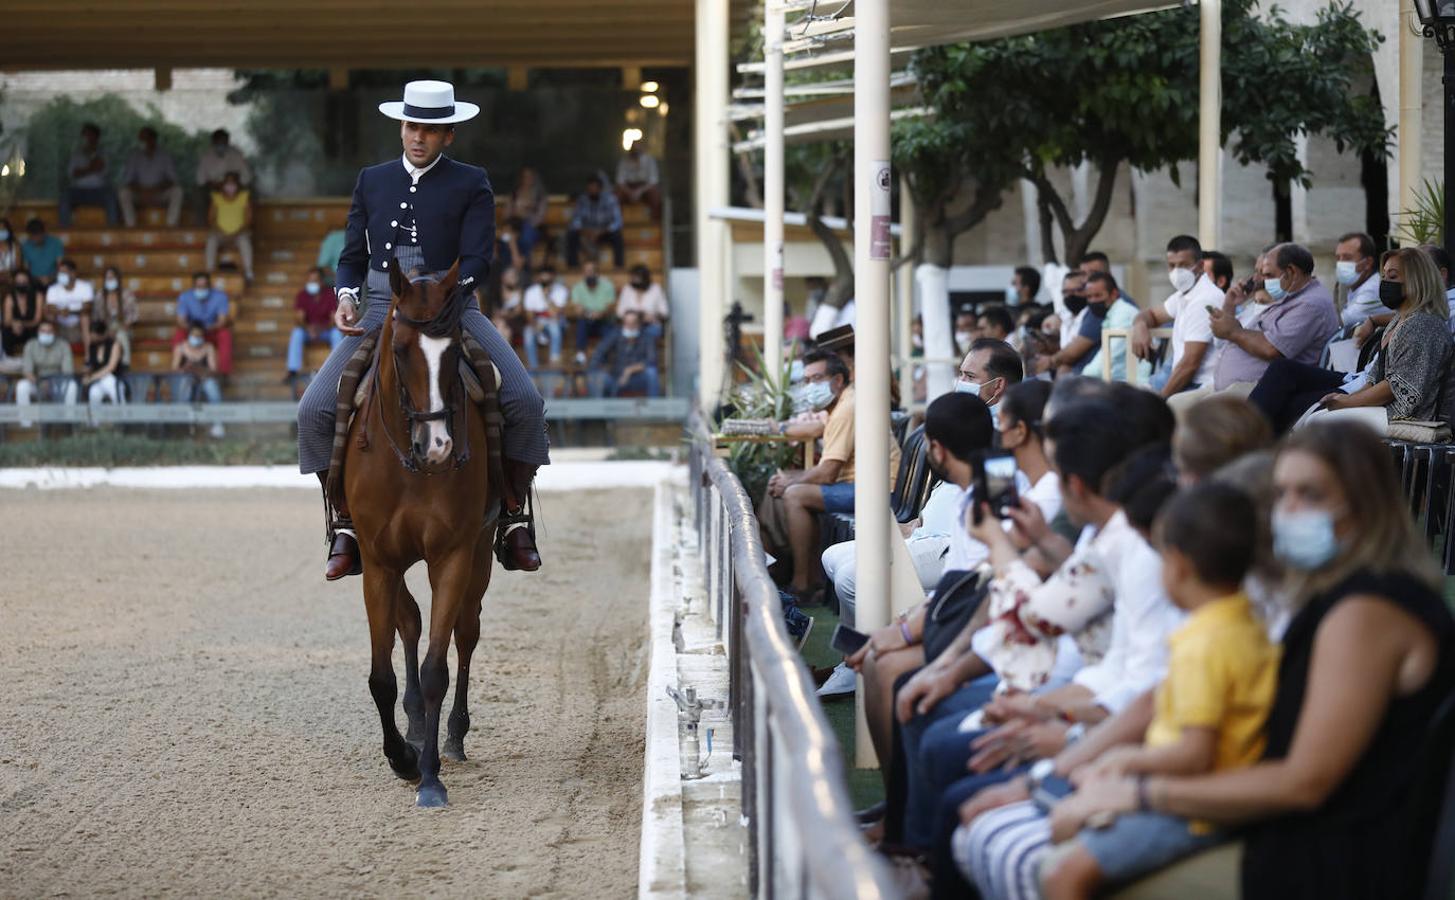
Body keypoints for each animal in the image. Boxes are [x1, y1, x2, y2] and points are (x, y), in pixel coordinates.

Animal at [341, 261, 494, 808]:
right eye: (402, 348)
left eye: (452, 351)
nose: (439, 447)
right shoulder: (378, 562)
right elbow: (381, 677)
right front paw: (401, 758)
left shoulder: (452, 556)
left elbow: (435, 670)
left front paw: (428, 779)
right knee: (408, 622)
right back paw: (413, 729)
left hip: (481, 557)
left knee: (466, 634)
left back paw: (452, 736)